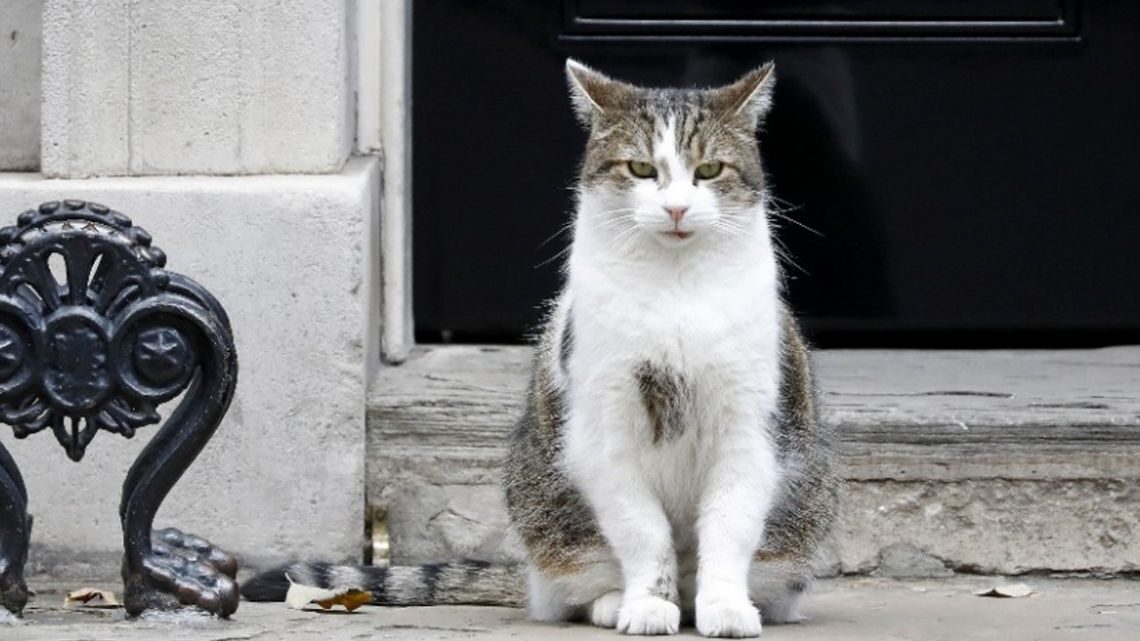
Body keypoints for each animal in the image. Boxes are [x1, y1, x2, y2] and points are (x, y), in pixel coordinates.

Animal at [503, 58, 843, 634]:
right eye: (641, 168)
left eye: (710, 170)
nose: (678, 208)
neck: (677, 291)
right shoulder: (606, 432)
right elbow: (642, 533)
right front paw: (646, 605)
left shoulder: (748, 429)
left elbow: (729, 529)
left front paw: (727, 607)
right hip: (543, 502)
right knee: (569, 584)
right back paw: (616, 603)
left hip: (807, 507)